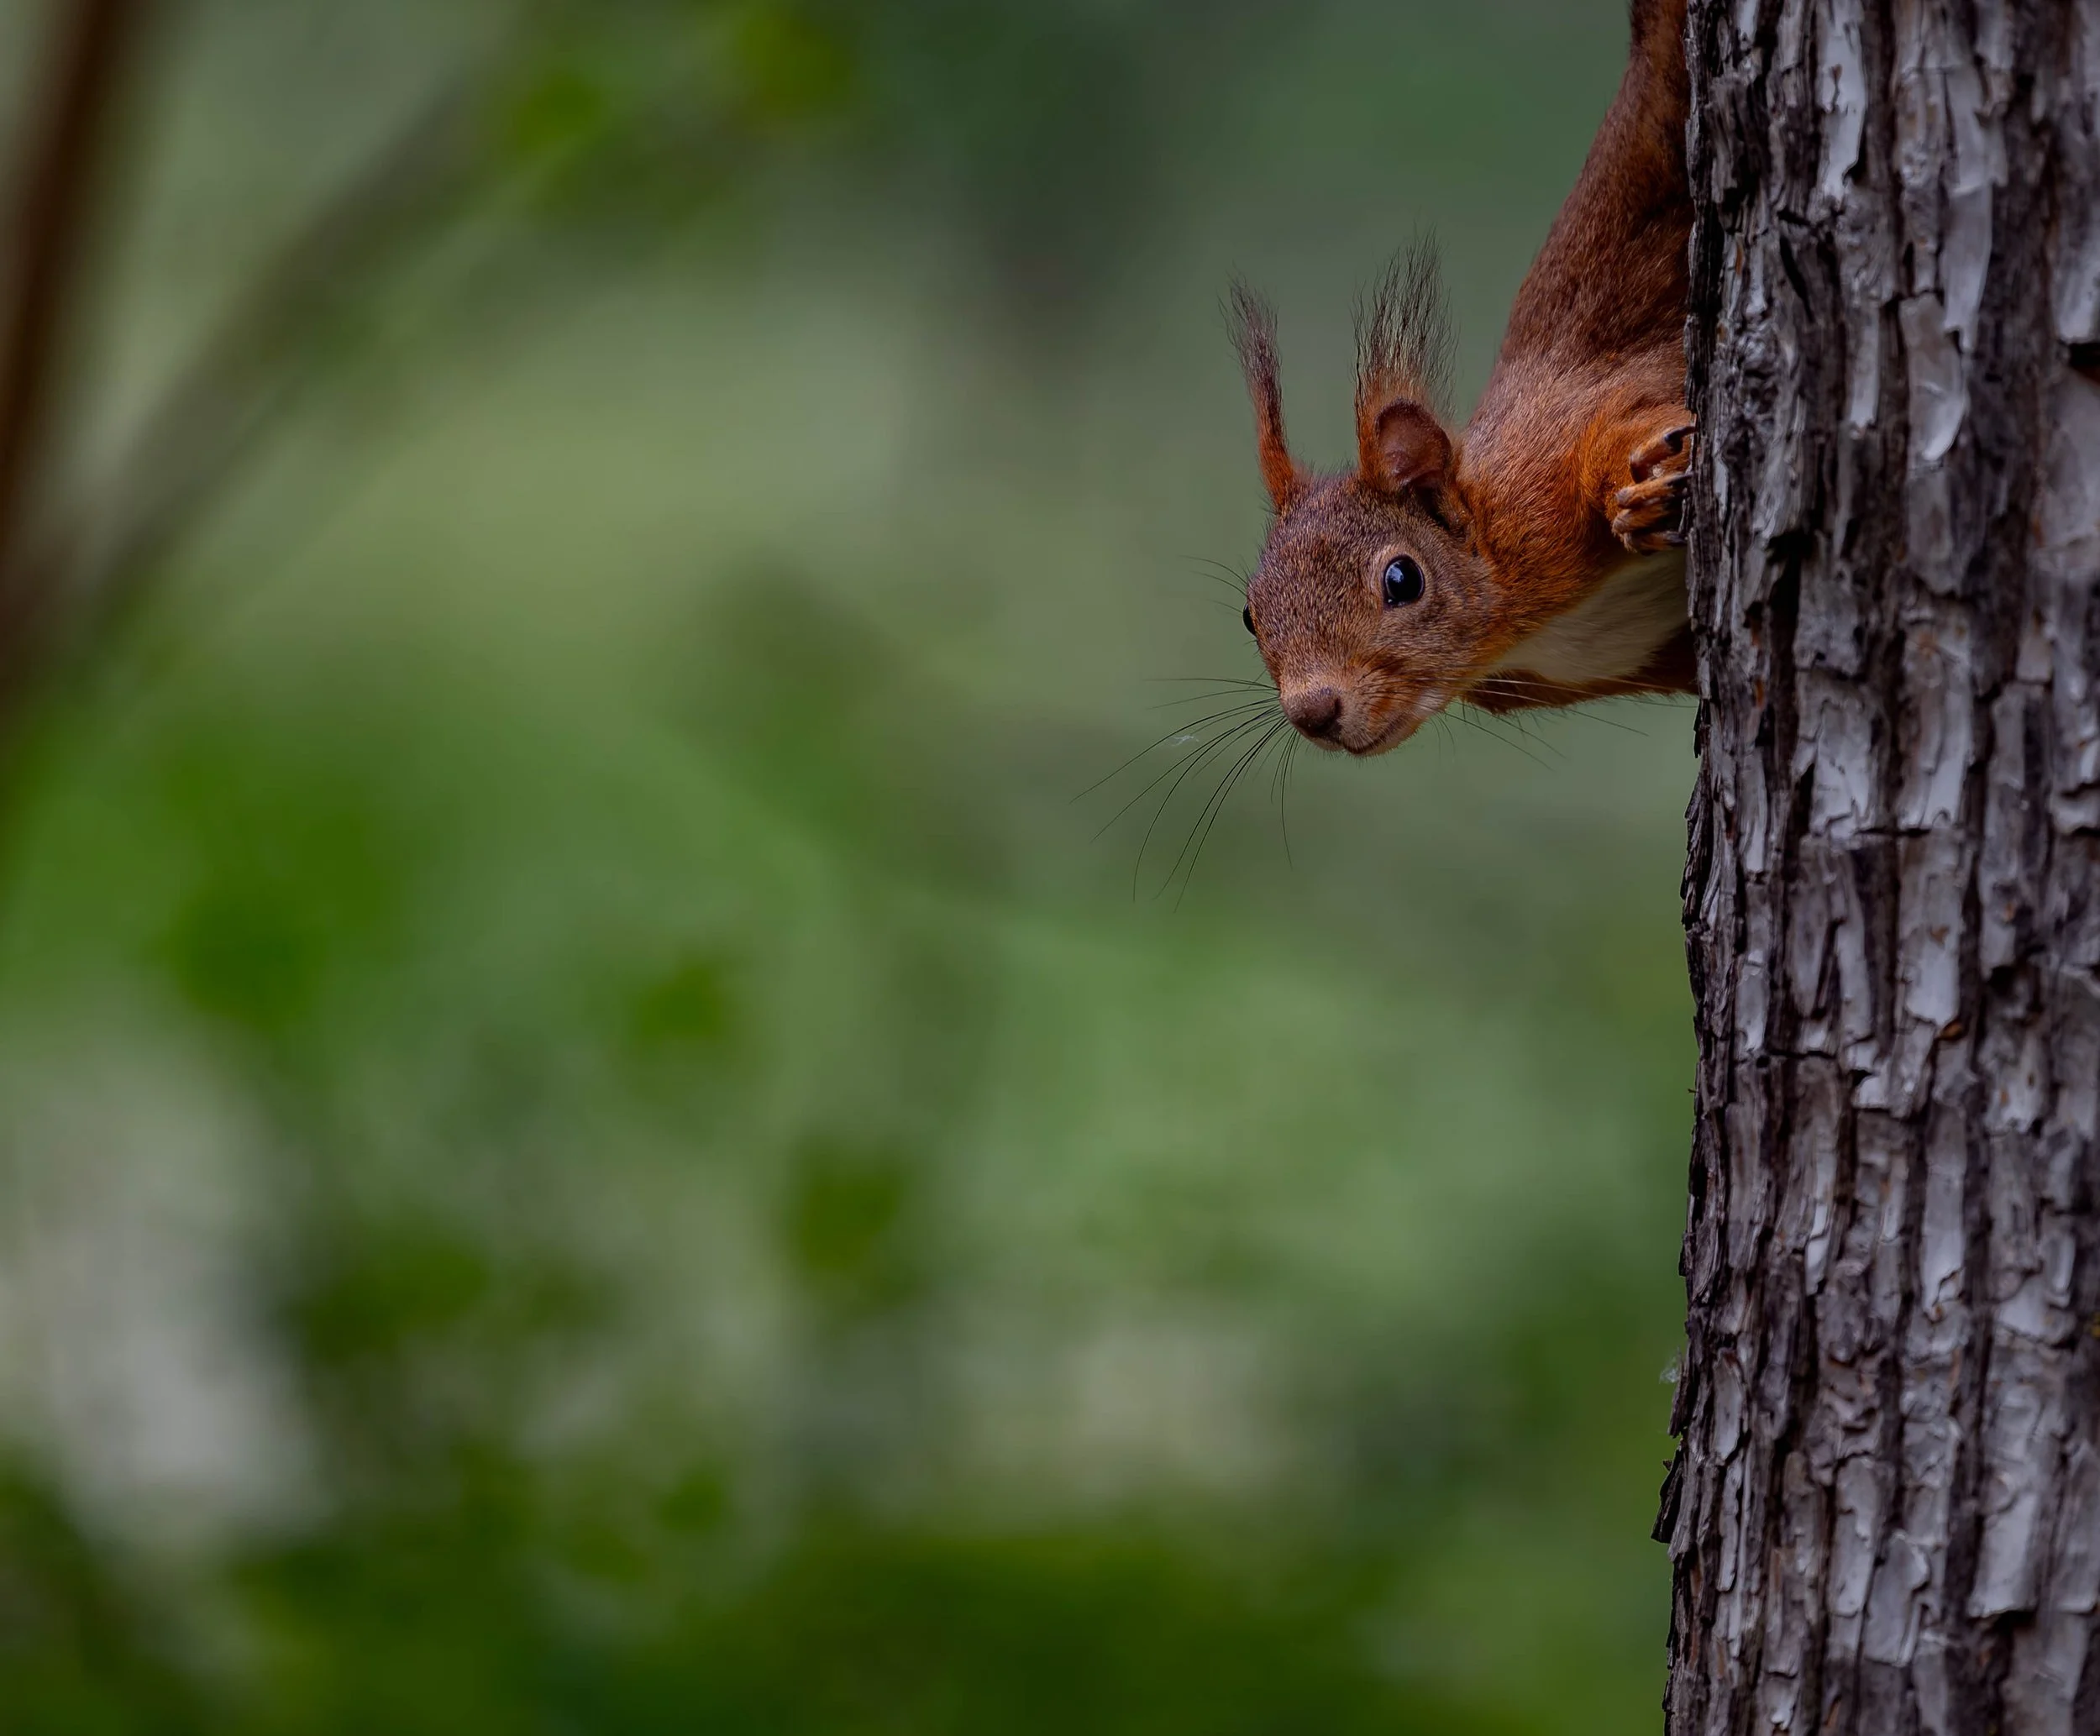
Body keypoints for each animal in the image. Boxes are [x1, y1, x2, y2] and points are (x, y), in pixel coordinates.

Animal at [1230, 0, 1695, 754]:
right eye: (1249, 613)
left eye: (1402, 578)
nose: (1313, 712)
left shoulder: (1544, 466)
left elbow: (1632, 409)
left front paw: (1642, 487)